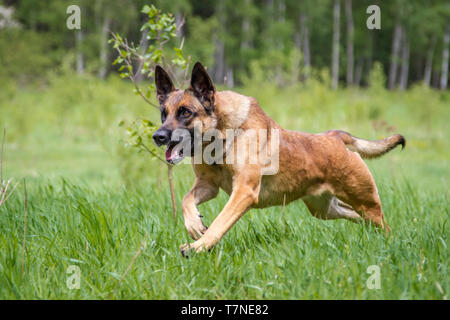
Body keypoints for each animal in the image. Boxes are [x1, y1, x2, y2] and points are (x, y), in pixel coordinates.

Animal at [153, 62, 406, 256]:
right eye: (164, 114)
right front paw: (195, 225)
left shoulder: (243, 192)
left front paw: (198, 246)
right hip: (325, 210)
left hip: (366, 202)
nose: (158, 136)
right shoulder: (208, 186)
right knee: (356, 217)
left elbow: (219, 223)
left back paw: (388, 245)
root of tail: (335, 136)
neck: (223, 135)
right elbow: (186, 200)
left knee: (384, 226)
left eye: (186, 112)